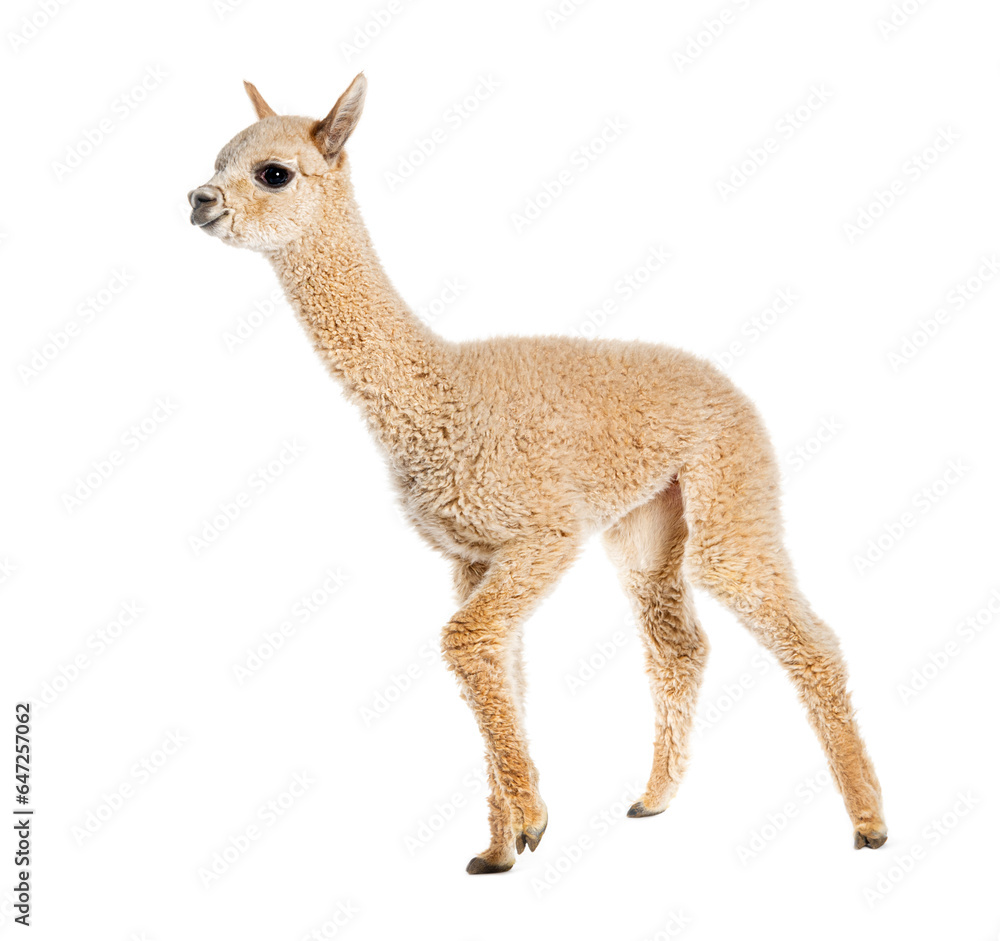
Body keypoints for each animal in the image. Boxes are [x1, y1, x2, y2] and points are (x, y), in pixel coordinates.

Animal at [187, 73, 887, 874]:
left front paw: (530, 820)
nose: (199, 199)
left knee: (809, 638)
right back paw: (655, 798)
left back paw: (869, 823)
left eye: (273, 172)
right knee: (678, 645)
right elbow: (498, 664)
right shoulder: (473, 555)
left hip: (731, 495)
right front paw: (500, 846)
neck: (441, 393)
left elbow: (463, 643)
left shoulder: (541, 534)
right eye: (216, 159)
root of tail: (727, 385)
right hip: (648, 525)